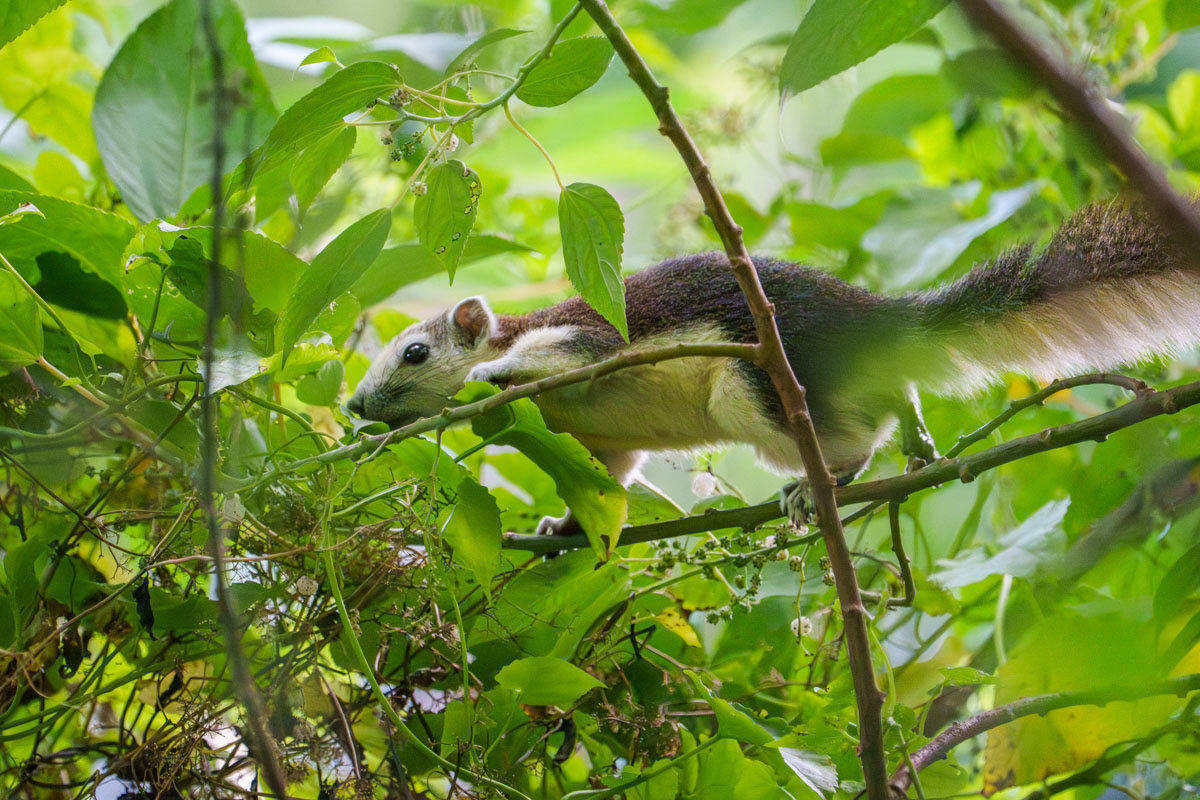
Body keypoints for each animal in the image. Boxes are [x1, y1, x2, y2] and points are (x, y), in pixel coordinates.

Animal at [347, 201, 1200, 531]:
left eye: (415, 351)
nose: (355, 410)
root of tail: (868, 321)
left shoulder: (582, 338)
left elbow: (572, 357)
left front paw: (486, 380)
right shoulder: (603, 447)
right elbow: (611, 479)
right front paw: (563, 524)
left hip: (755, 379)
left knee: (852, 435)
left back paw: (827, 482)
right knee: (889, 400)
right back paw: (916, 440)